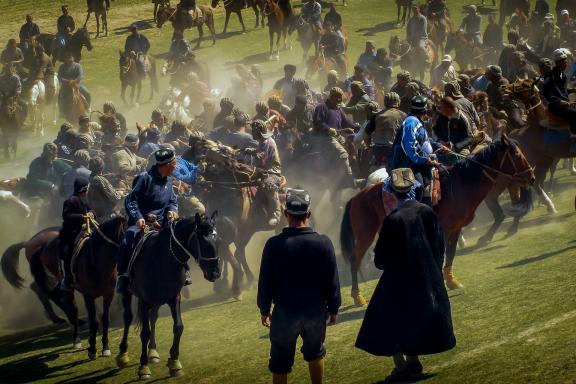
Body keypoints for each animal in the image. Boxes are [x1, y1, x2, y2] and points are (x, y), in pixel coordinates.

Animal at [115, 214, 220, 380]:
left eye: (216, 237)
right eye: (203, 241)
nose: (215, 273)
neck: (161, 258)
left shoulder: (174, 298)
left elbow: (178, 327)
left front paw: (174, 362)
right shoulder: (144, 300)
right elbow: (144, 332)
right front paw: (143, 367)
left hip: (156, 301)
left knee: (153, 318)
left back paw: (152, 351)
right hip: (129, 293)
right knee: (128, 318)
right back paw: (123, 354)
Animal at [340, 135, 532, 306]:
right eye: (517, 155)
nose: (531, 177)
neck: (460, 185)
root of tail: (356, 198)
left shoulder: (455, 228)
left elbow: (451, 254)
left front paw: (452, 281)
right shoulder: (444, 229)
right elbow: (441, 255)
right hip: (365, 235)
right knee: (355, 261)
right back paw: (358, 297)